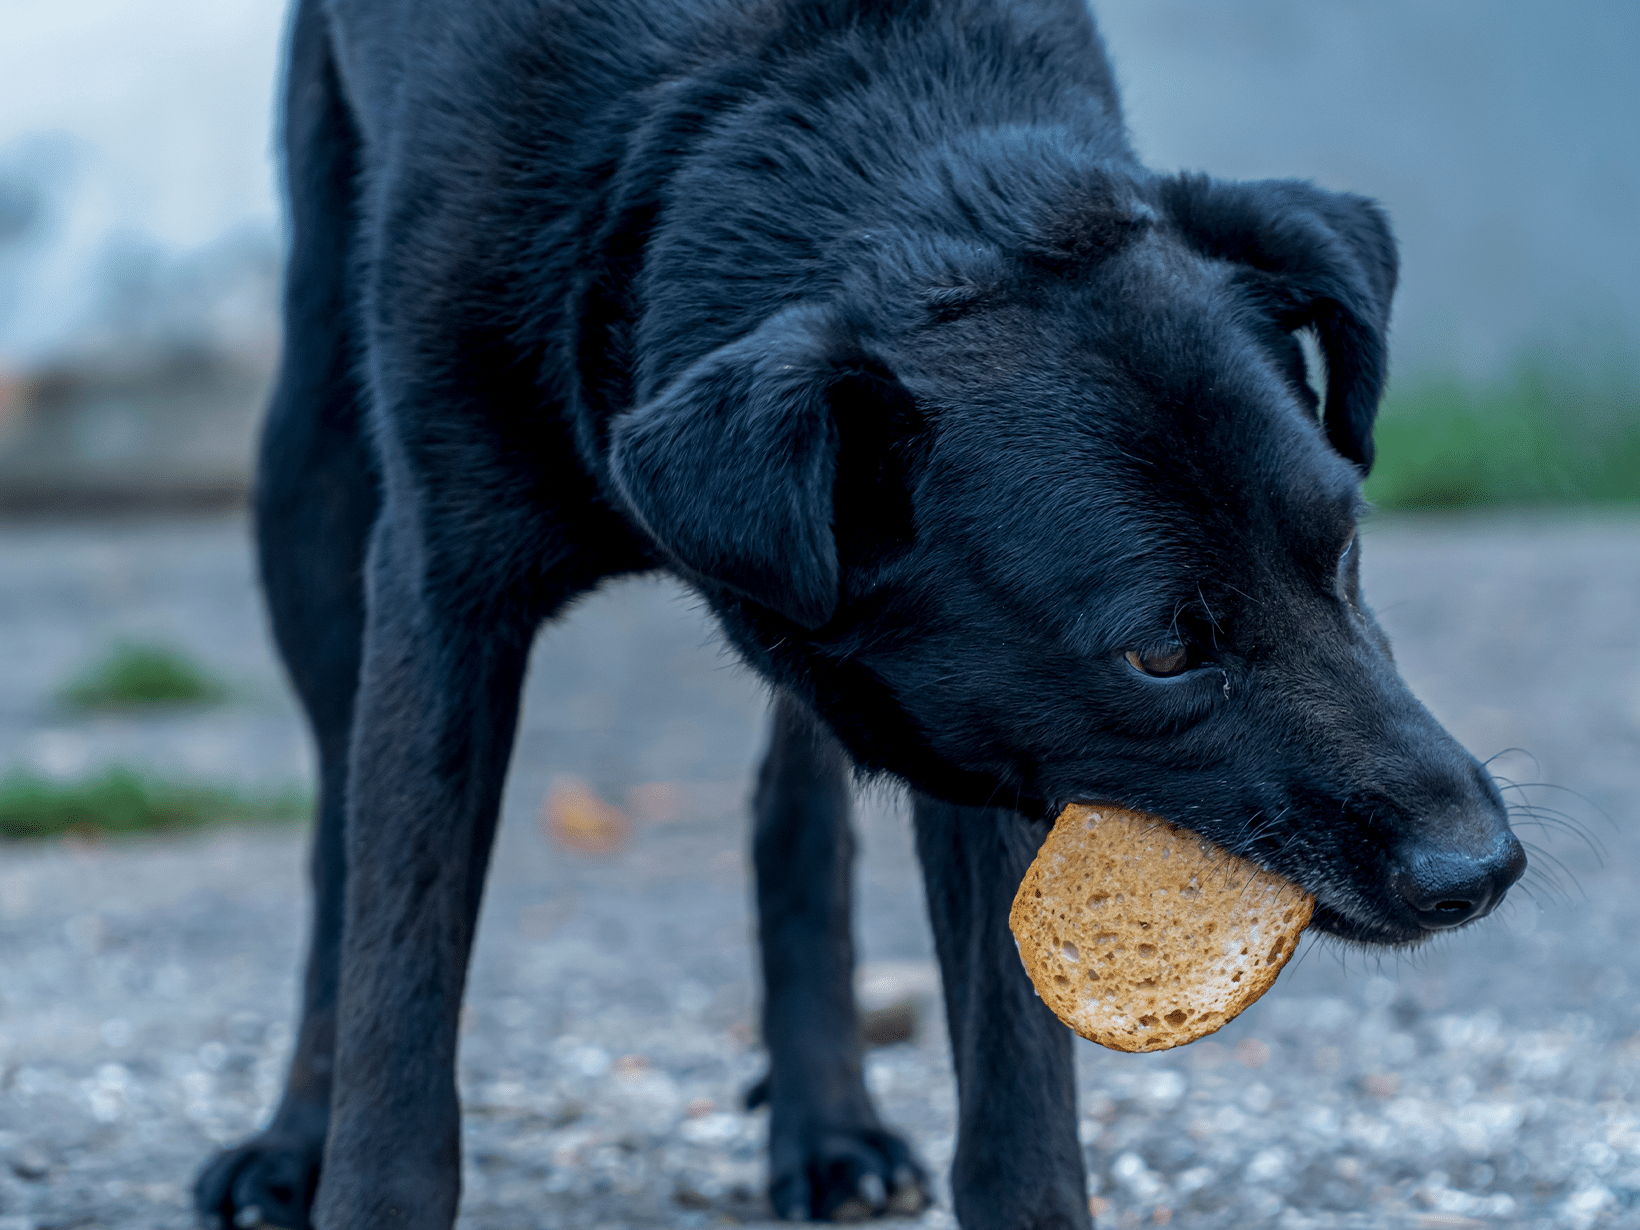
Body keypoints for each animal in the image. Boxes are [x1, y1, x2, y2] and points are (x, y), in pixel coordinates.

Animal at [191, 2, 1521, 1230]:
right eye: (1159, 651)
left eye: (1340, 547)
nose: (1479, 870)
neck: (802, 94)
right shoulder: (441, 594)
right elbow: (397, 987)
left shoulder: (986, 729)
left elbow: (1012, 1079)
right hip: (311, 471)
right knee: (339, 842)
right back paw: (290, 1137)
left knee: (795, 813)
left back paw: (825, 1121)